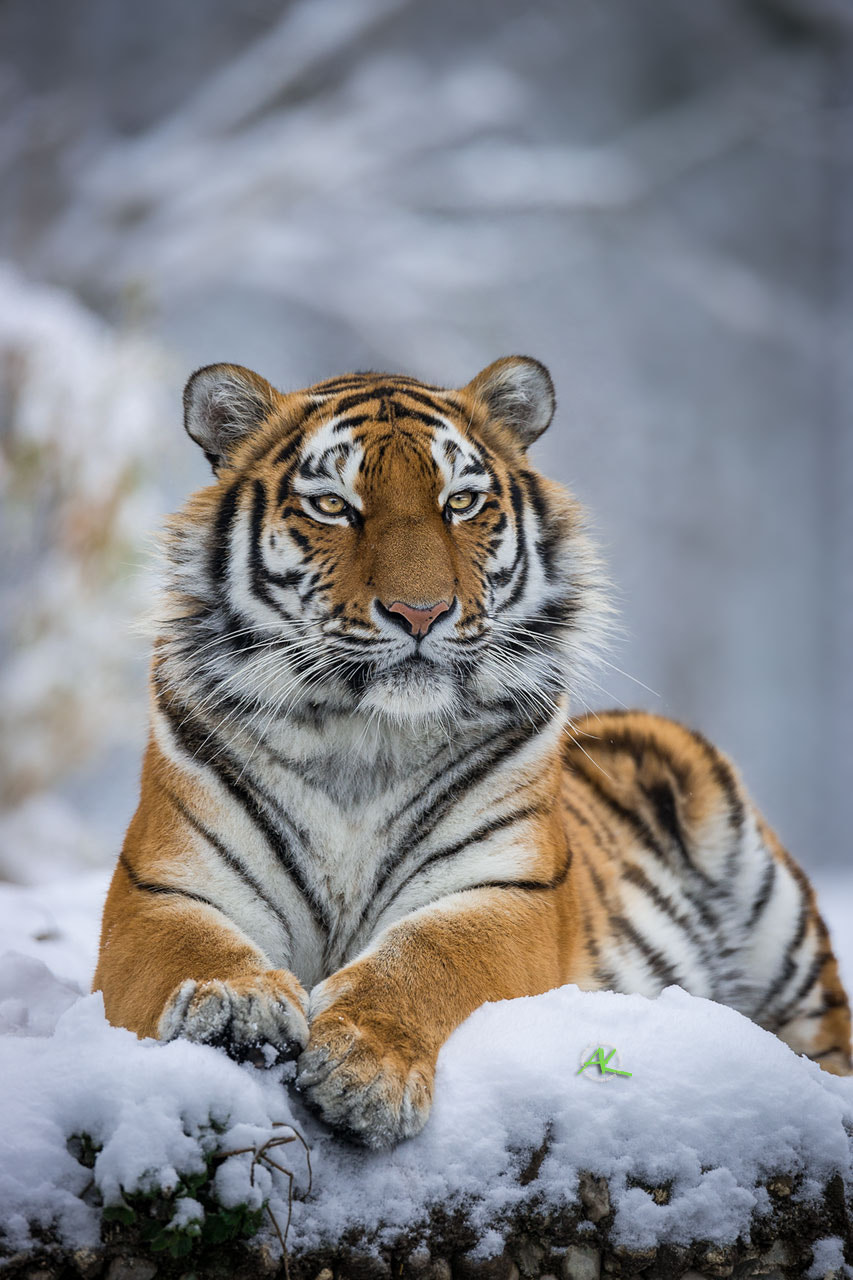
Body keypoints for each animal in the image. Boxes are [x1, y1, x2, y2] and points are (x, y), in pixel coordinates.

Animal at [92, 353, 850, 1152]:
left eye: (460, 502)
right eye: (332, 505)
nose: (420, 612)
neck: (362, 740)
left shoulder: (505, 891)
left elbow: (424, 958)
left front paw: (365, 1067)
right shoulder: (162, 887)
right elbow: (191, 949)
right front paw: (232, 1009)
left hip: (780, 936)